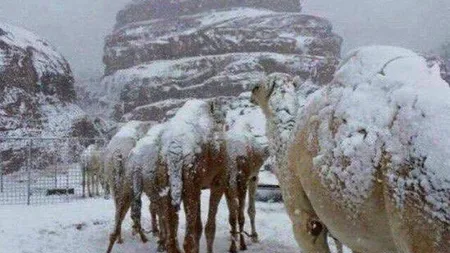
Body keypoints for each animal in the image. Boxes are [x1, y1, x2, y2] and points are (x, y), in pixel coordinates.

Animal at [103, 120, 153, 253]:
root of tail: (118, 151)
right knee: (127, 207)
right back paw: (143, 238)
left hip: (112, 175)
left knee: (118, 206)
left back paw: (119, 239)